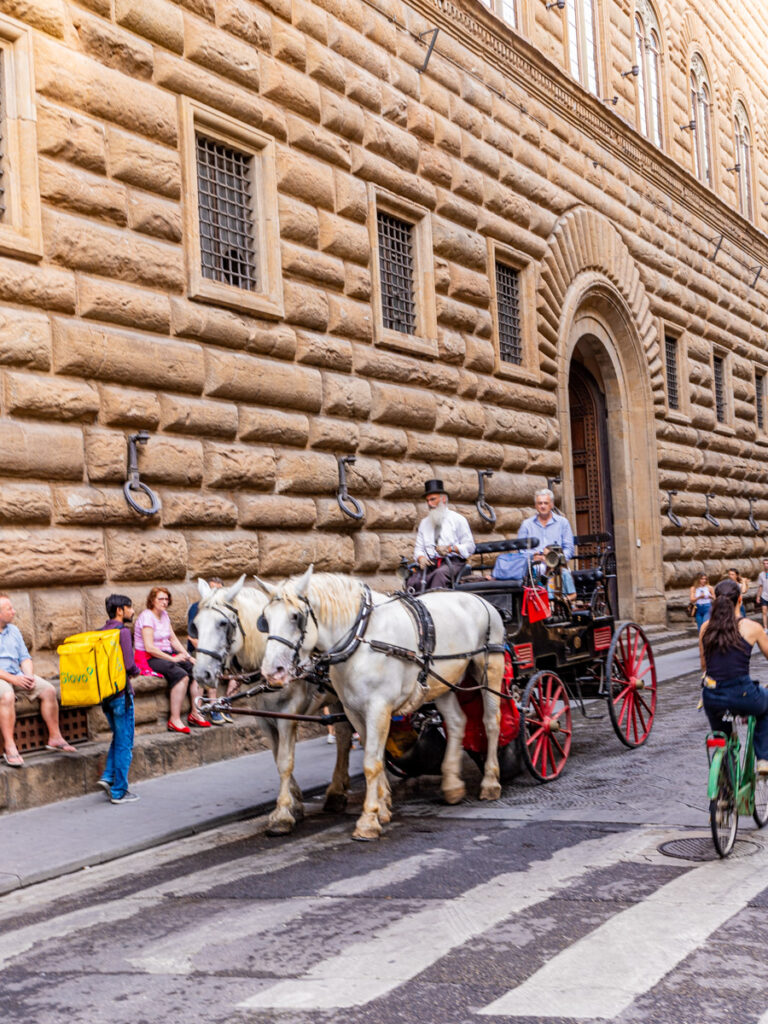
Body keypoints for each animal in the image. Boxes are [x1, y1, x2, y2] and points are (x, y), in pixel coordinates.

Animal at [192, 577, 354, 831]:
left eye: (222, 623)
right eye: (196, 625)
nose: (201, 674)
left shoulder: (288, 714)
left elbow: (285, 761)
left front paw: (283, 814)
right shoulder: (264, 718)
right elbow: (277, 757)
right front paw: (295, 803)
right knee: (344, 735)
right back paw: (337, 792)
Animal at [256, 569, 505, 839]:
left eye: (296, 617)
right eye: (265, 620)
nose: (272, 671)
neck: (361, 638)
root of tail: (479, 598)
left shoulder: (378, 707)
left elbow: (371, 763)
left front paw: (368, 821)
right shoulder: (354, 710)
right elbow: (374, 756)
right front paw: (383, 807)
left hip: (490, 667)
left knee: (491, 722)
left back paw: (491, 782)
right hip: (442, 682)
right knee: (458, 722)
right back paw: (452, 785)